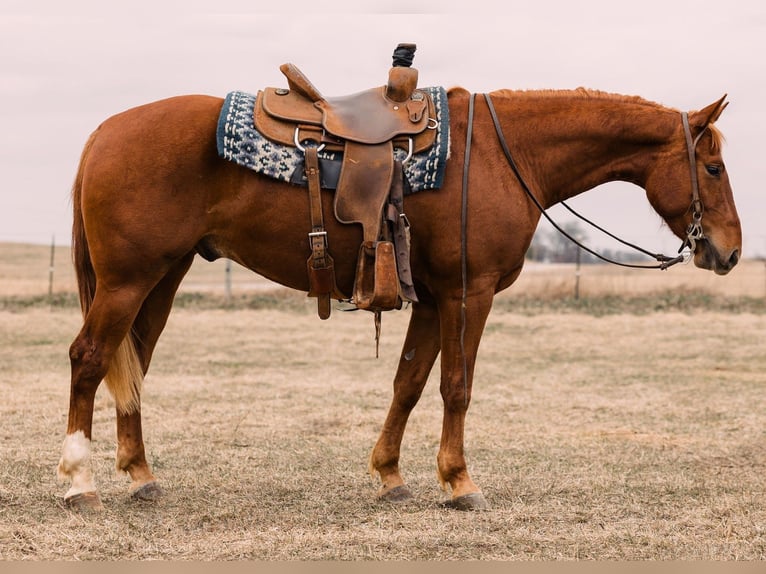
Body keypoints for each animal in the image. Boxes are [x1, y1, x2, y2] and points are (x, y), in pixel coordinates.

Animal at [57, 85, 741, 512]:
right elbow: (457, 387)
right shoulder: (470, 293)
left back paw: (141, 475)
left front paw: (390, 475)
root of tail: (102, 133)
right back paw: (78, 481)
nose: (730, 252)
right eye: (713, 169)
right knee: (90, 359)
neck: (500, 157)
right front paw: (459, 482)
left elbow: (409, 383)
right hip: (126, 281)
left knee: (132, 365)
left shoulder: (435, 299)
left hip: (161, 279)